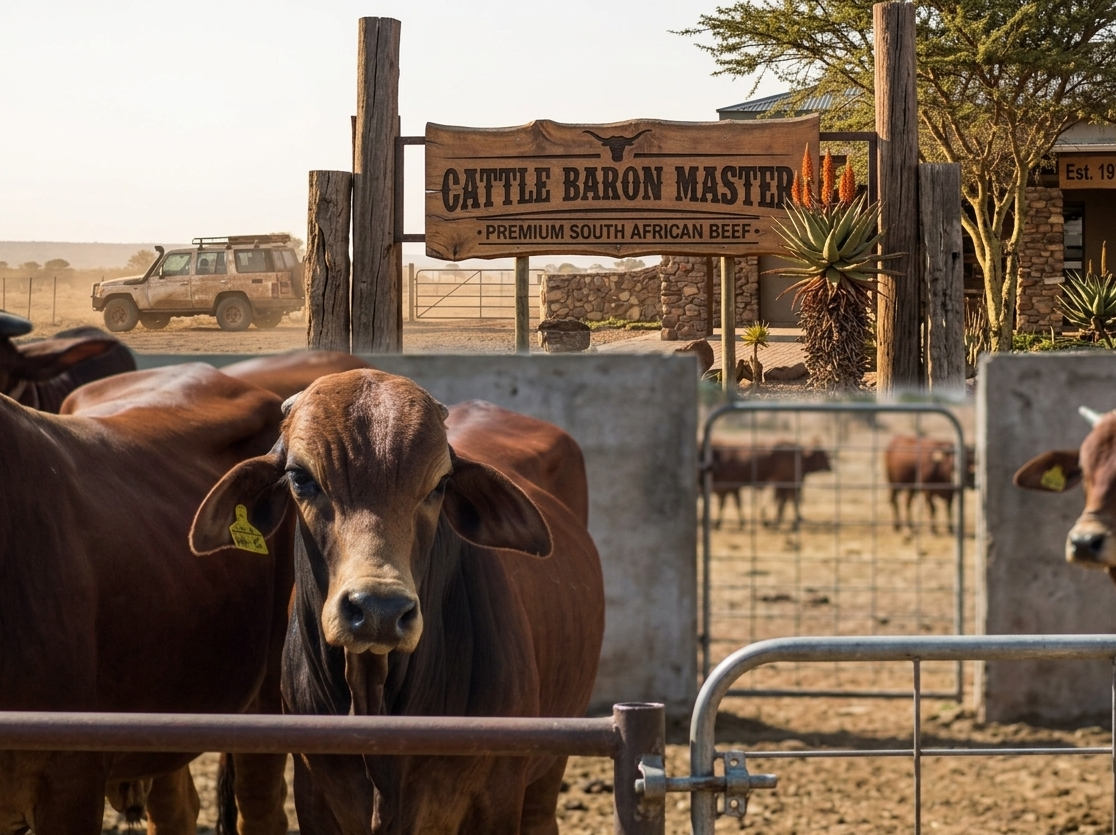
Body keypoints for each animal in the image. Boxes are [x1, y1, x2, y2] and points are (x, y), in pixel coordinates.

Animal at [190, 369, 606, 835]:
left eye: (440, 485)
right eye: (300, 477)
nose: (379, 610)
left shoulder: (498, 795)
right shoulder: (313, 794)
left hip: (548, 767)